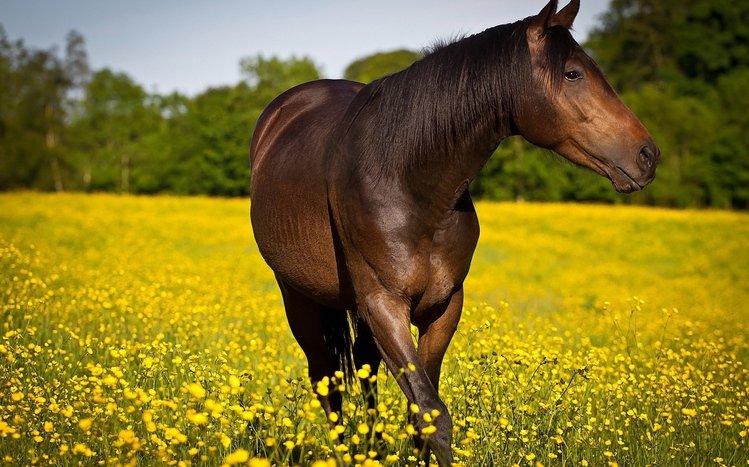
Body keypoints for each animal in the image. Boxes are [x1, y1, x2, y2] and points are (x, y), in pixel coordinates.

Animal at [249, 0, 659, 464]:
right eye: (573, 73)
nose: (648, 155)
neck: (410, 181)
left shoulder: (444, 305)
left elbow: (420, 415)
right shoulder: (384, 304)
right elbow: (432, 413)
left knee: (365, 373)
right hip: (299, 297)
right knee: (327, 379)